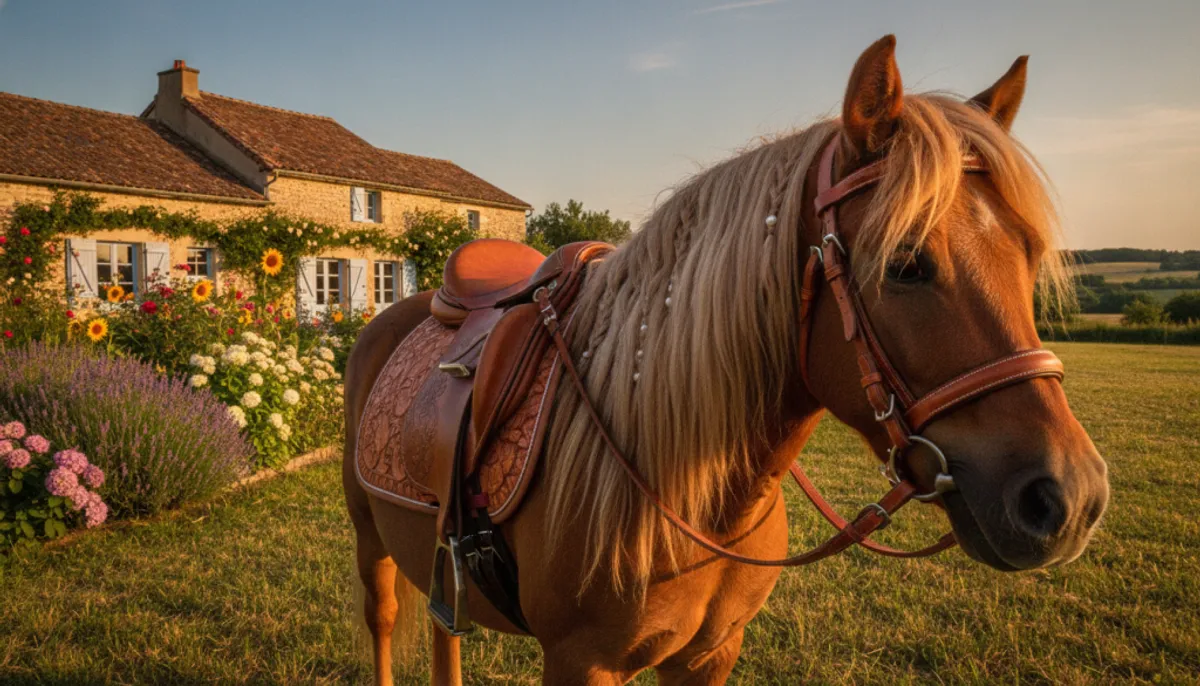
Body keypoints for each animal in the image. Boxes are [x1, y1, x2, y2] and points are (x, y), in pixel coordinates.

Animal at [342, 35, 1110, 685]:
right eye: (904, 262)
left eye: (1028, 255)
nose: (1070, 499)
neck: (685, 489)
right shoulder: (580, 663)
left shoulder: (711, 654)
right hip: (369, 538)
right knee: (381, 619)